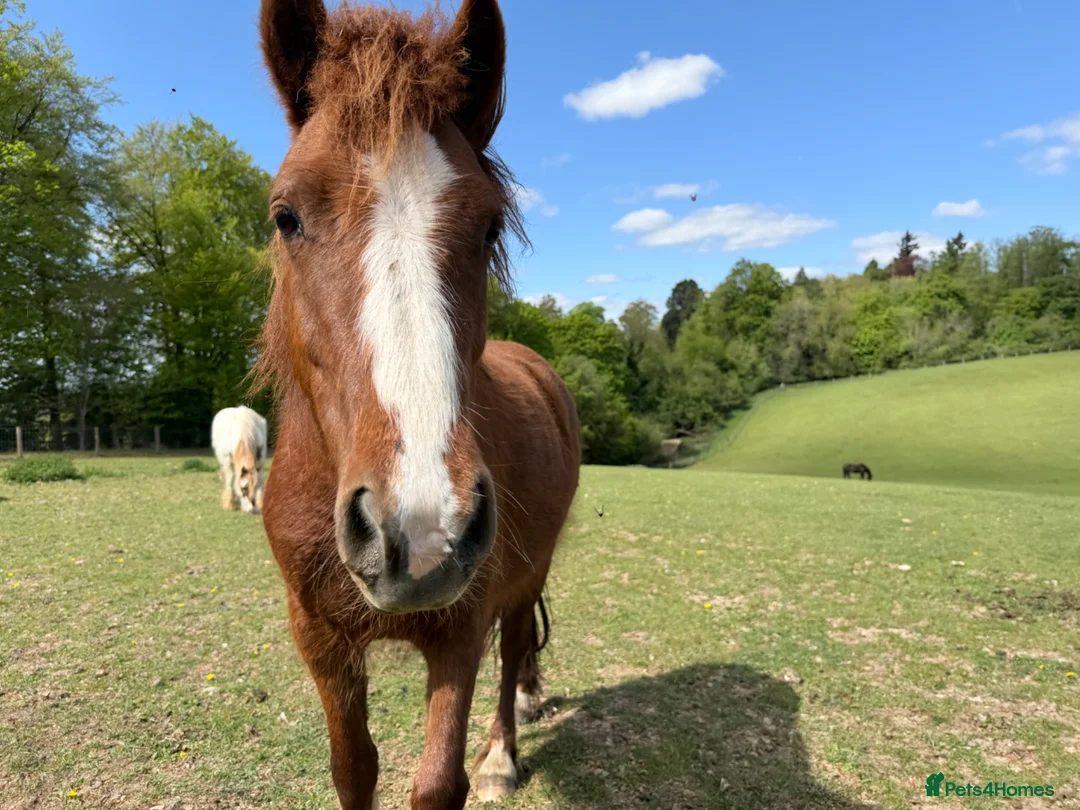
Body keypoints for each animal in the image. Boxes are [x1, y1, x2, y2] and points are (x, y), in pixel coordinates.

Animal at [254, 1, 582, 807]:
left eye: (490, 225)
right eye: (286, 215)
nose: (422, 530)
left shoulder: (458, 630)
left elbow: (437, 781)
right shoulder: (320, 640)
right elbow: (352, 769)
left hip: (527, 572)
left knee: (515, 648)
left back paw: (503, 752)